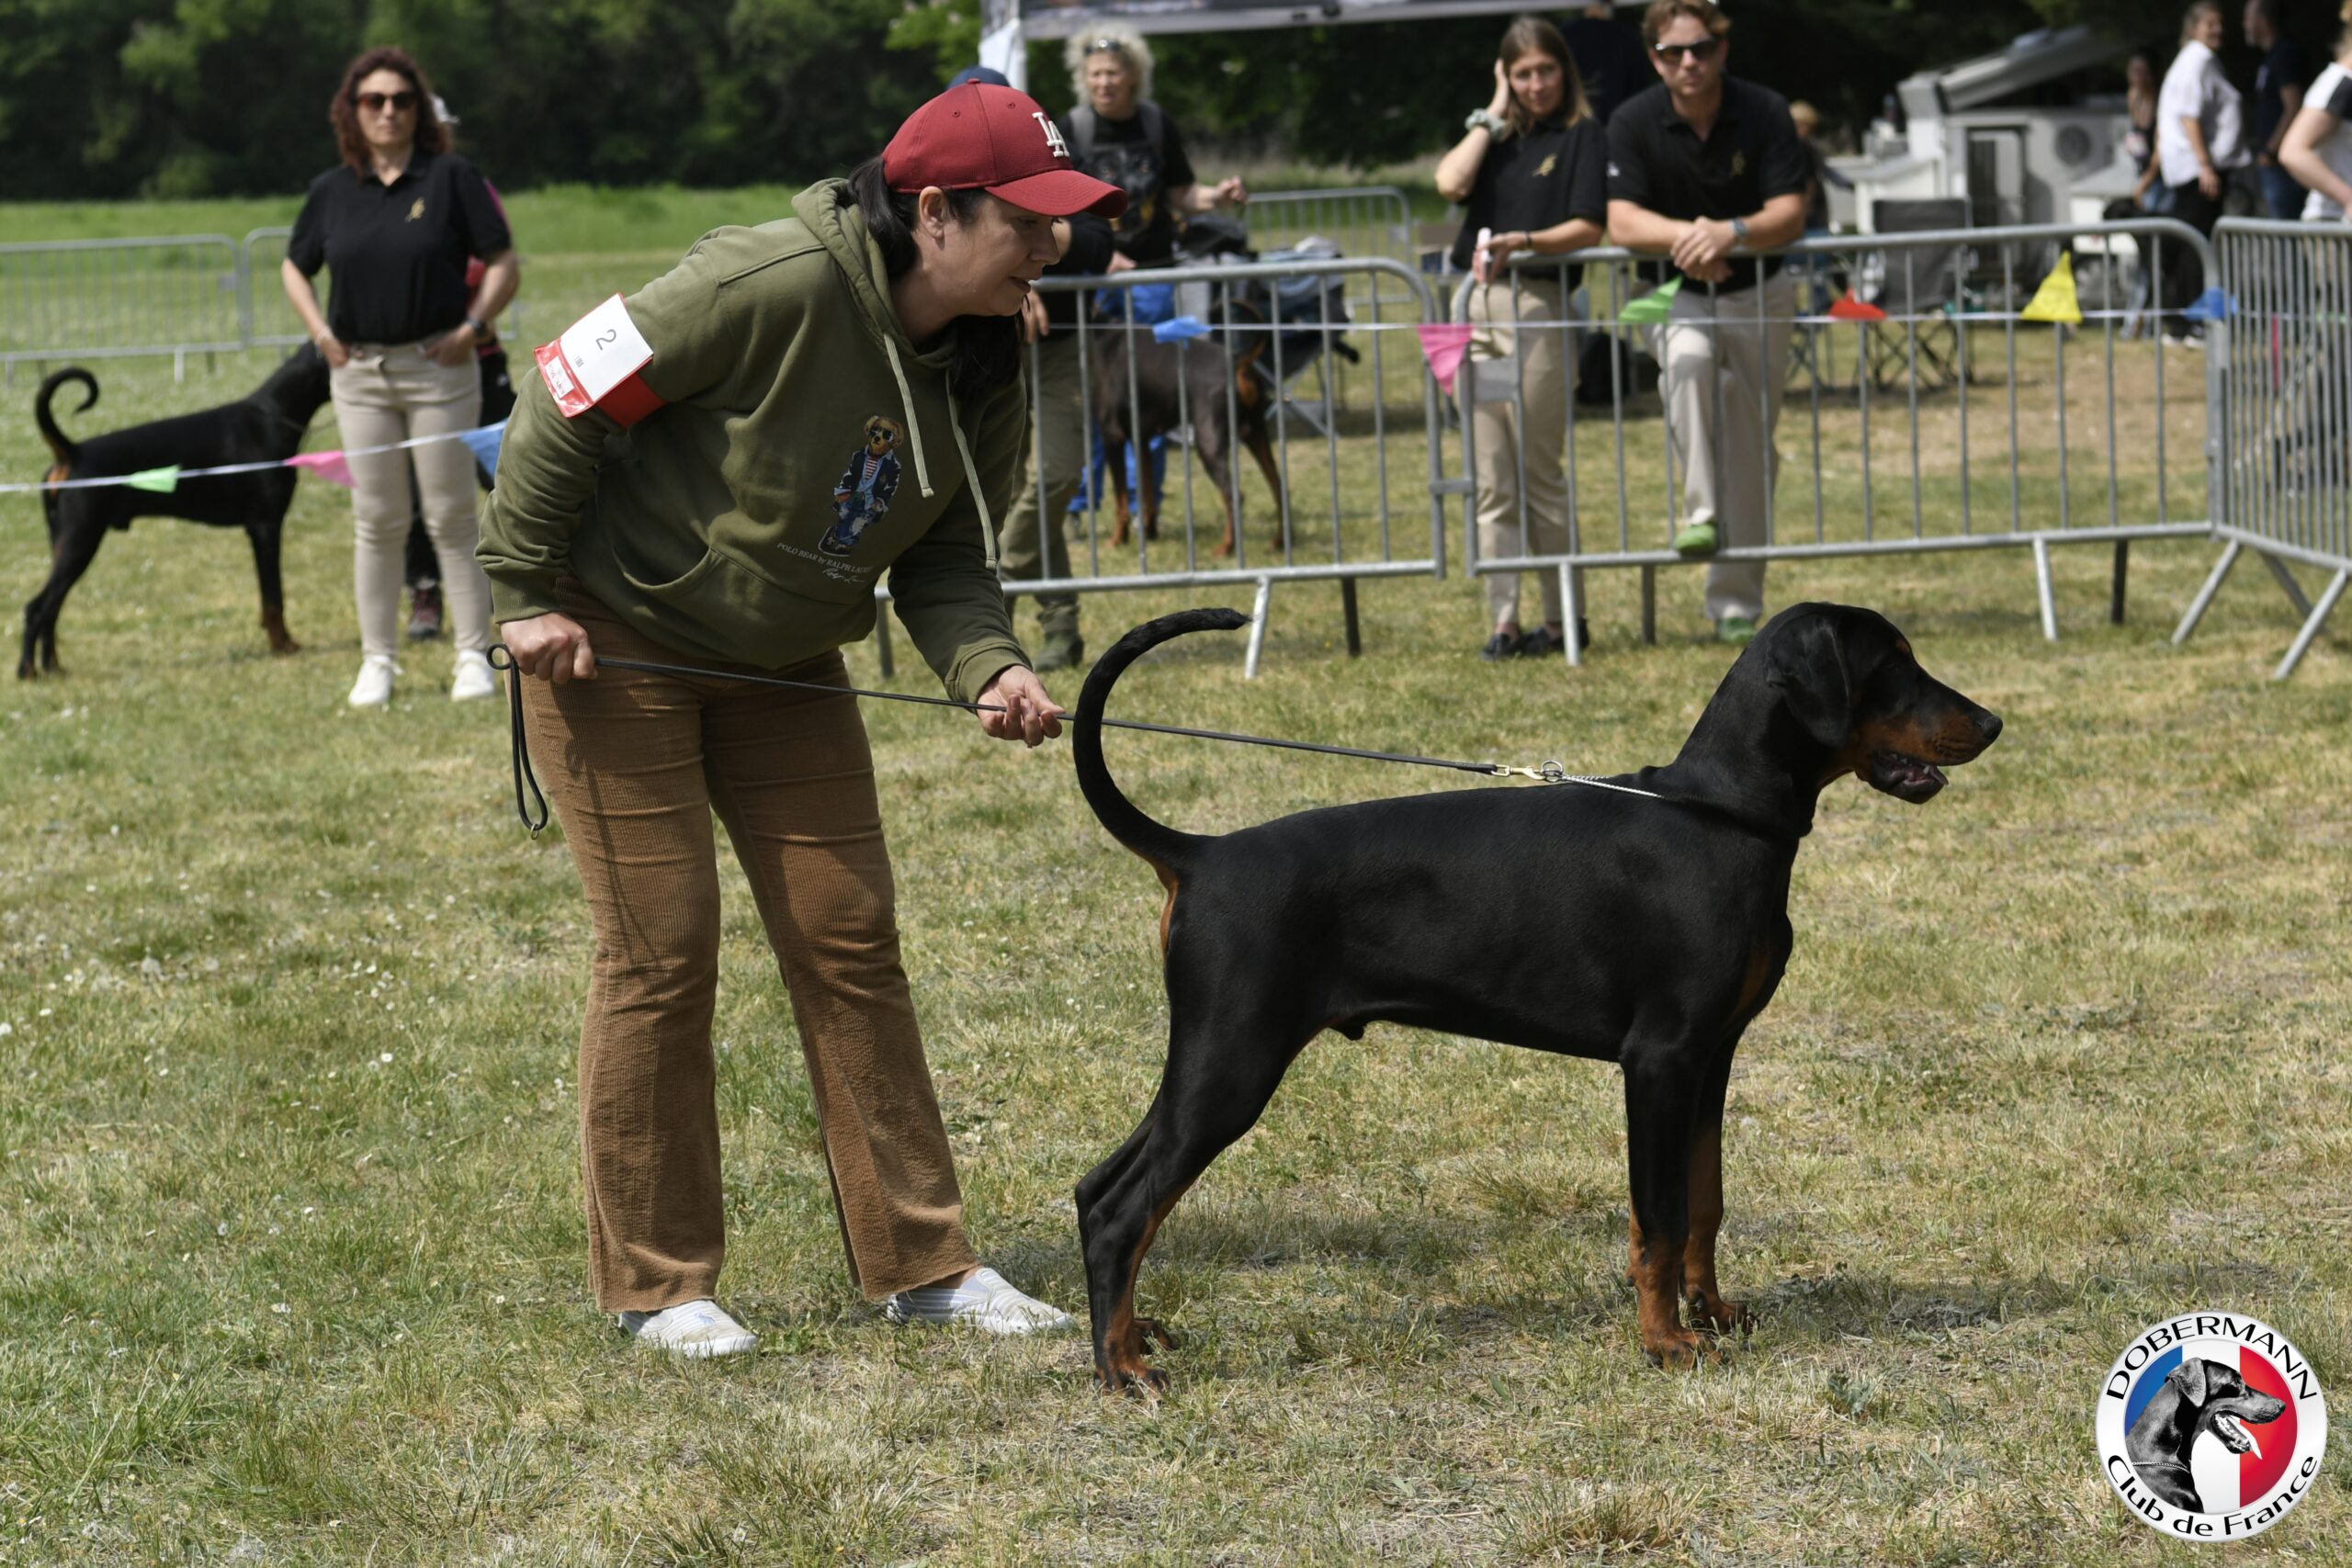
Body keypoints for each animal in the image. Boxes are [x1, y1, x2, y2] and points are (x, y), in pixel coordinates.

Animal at [24, 345, 332, 678]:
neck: (272, 418)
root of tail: (72, 452)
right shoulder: (265, 527)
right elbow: (273, 598)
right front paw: (283, 646)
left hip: (63, 542)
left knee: (52, 608)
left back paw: (53, 667)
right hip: (80, 541)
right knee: (37, 607)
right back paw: (27, 671)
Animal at [1068, 602, 2002, 1393]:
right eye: (1893, 662)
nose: (1993, 722)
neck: (1719, 814)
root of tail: (1200, 854)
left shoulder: (1713, 1058)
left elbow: (1704, 1201)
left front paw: (1711, 1312)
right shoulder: (1659, 1061)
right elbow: (1661, 1216)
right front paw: (1665, 1342)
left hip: (1210, 1061)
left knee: (1097, 1187)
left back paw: (1131, 1335)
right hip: (1234, 1062)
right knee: (1122, 1208)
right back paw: (1121, 1370)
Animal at [1090, 305, 1290, 560]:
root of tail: (1237, 360)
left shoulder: (1112, 436)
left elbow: (1120, 498)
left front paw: (1117, 540)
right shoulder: (1142, 439)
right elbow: (1148, 493)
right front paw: (1150, 532)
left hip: (1209, 442)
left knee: (1234, 495)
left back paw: (1226, 547)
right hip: (1256, 433)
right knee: (1278, 486)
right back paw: (1280, 542)